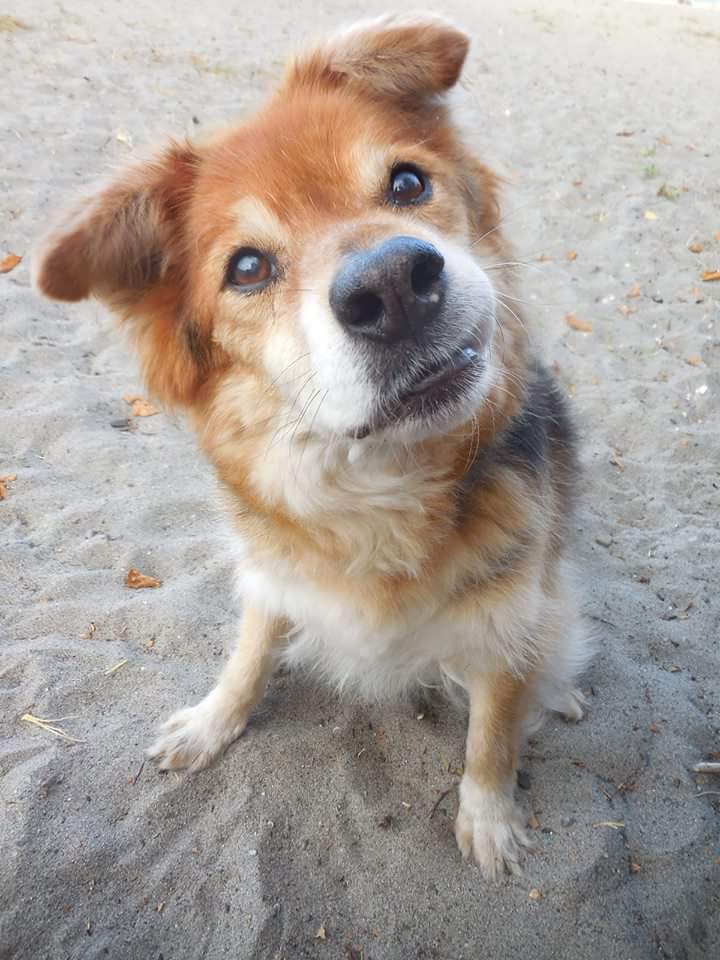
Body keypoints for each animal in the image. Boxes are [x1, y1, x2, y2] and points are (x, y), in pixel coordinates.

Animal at [33, 13, 591, 879]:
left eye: (407, 184)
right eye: (247, 267)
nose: (392, 283)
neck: (380, 495)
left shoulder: (504, 625)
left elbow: (492, 736)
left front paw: (490, 820)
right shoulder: (274, 575)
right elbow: (249, 654)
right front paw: (211, 721)